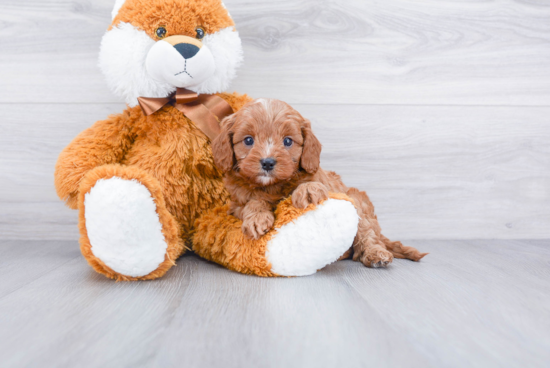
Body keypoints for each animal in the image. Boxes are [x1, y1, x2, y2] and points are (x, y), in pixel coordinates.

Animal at [213, 98, 430, 268]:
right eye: (248, 140)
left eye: (288, 141)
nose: (267, 162)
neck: (272, 186)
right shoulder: (236, 205)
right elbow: (252, 203)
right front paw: (257, 218)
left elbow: (312, 184)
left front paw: (308, 191)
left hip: (359, 205)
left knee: (367, 237)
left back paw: (376, 254)